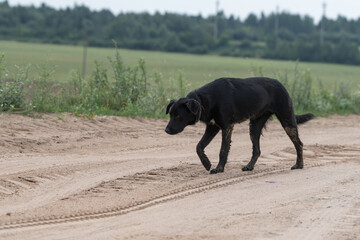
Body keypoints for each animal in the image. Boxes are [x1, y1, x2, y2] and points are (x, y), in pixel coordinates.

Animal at [165, 78, 314, 173]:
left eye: (177, 116)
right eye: (170, 114)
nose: (166, 130)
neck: (204, 100)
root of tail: (281, 85)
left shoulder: (226, 127)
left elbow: (223, 150)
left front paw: (219, 169)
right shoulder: (213, 127)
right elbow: (199, 146)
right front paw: (206, 163)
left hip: (287, 121)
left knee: (299, 144)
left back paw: (299, 165)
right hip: (254, 125)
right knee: (257, 150)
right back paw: (249, 167)